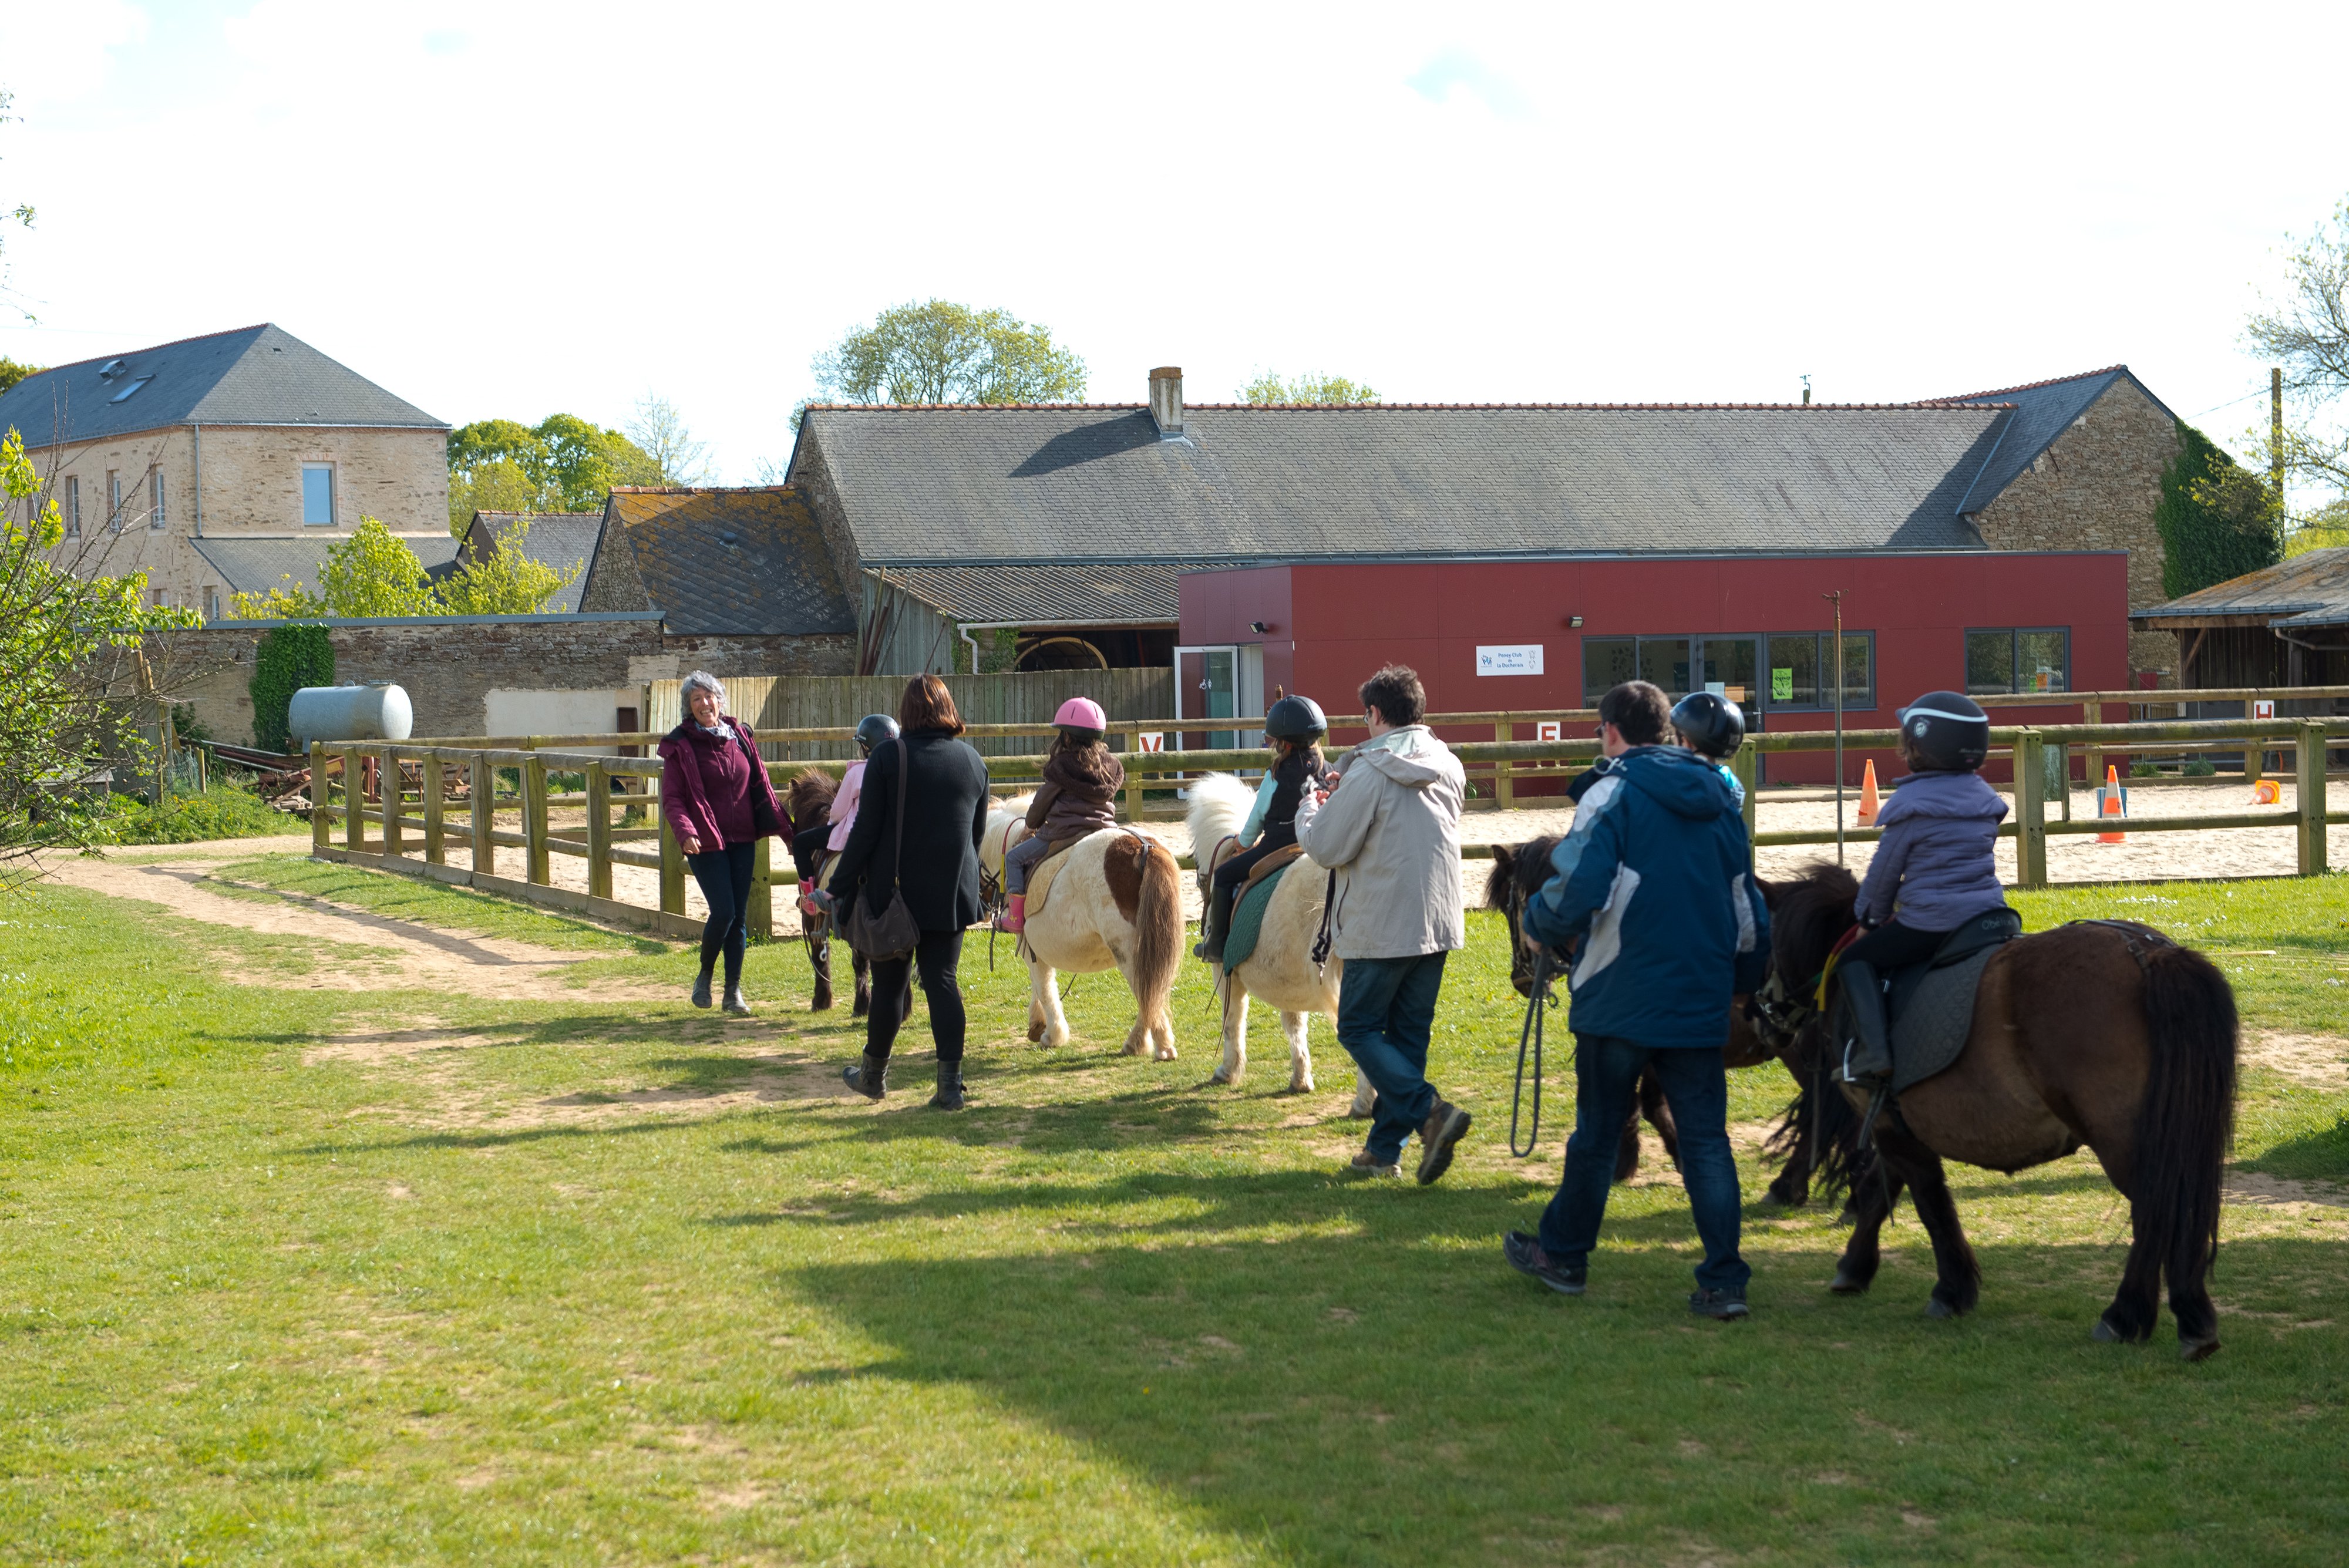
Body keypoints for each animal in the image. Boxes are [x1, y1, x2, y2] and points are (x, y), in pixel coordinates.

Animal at [977, 802, 1184, 1061]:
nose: (981, 911)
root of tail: (1144, 847)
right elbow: (1041, 984)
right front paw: (1038, 1025)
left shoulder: (1029, 947)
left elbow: (1044, 987)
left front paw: (1052, 1034)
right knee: (1152, 994)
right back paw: (1140, 1043)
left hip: (1129, 951)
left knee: (1147, 993)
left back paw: (1157, 1046)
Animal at [1184, 770, 1372, 1112]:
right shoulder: (1290, 982)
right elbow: (1294, 1024)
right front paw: (1301, 1078)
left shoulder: (1225, 974)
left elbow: (1233, 1021)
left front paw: (1228, 1070)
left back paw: (1366, 1101)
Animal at [1766, 859, 2236, 1361]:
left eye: (1763, 942)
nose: (1764, 1016)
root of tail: (2146, 952)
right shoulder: (1896, 1122)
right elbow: (1881, 1190)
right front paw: (1855, 1268)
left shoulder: (1892, 1128)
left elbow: (1931, 1204)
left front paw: (1951, 1291)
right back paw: (2182, 1318)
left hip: (2123, 1139)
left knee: (2155, 1210)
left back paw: (2129, 1316)